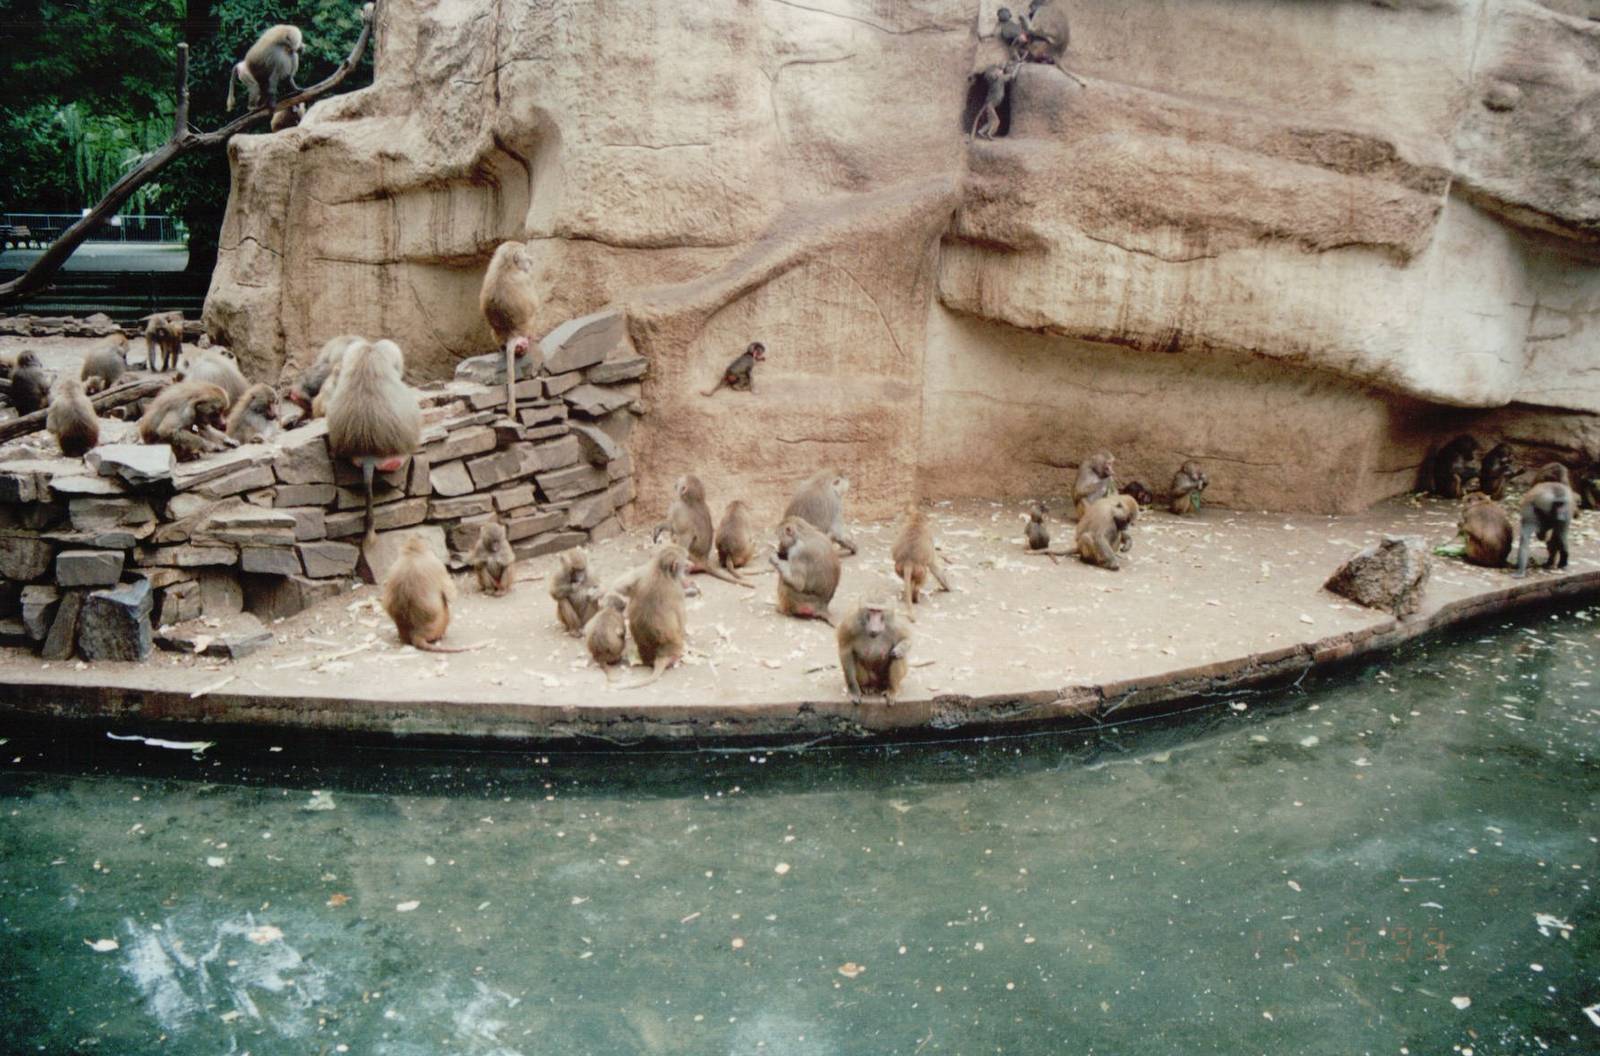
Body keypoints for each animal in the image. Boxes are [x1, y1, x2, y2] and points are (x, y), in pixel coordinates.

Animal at [479, 240, 540, 416]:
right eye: (525, 253)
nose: (531, 260)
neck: (506, 265)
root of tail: (511, 336)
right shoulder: (526, 279)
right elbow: (535, 305)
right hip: (527, 331)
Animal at [621, 545, 697, 690]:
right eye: (685, 563)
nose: (692, 564)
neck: (661, 572)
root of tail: (660, 655)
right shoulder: (677, 592)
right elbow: (681, 622)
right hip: (675, 648)